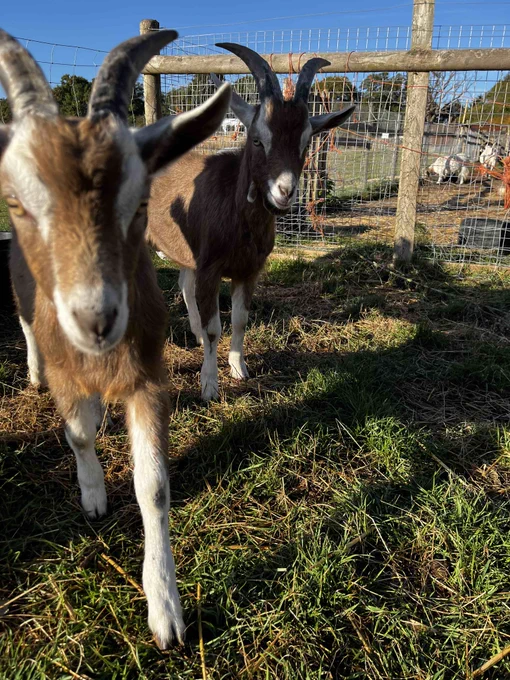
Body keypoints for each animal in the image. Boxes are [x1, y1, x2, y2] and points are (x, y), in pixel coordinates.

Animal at [0, 29, 231, 648]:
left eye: (140, 199)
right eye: (17, 201)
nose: (97, 319)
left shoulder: (147, 374)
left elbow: (153, 487)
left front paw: (166, 612)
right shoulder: (68, 368)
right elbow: (77, 434)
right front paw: (94, 496)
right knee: (27, 328)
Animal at [147, 44, 355, 401]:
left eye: (305, 143)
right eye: (257, 139)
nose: (285, 191)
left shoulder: (249, 270)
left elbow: (240, 321)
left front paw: (238, 368)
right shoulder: (211, 267)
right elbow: (215, 328)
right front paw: (209, 385)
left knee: (185, 284)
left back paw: (194, 334)